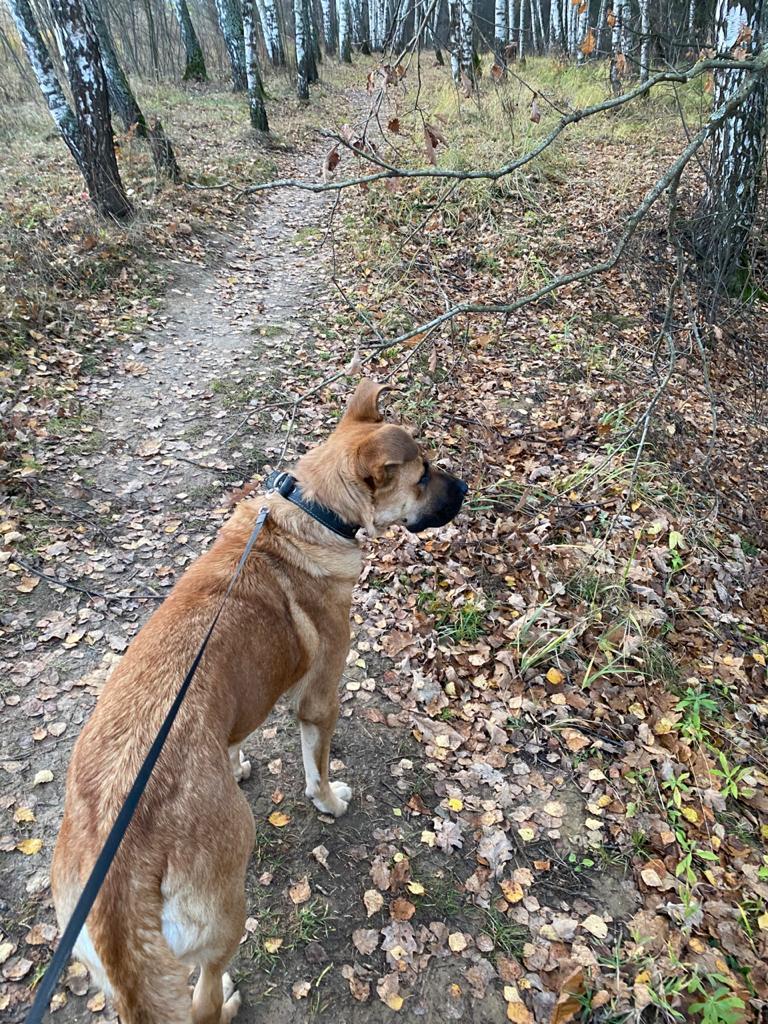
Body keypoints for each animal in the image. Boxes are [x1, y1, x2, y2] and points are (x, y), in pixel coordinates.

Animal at [52, 382, 468, 1024]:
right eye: (422, 477)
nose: (466, 488)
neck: (312, 512)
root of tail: (118, 887)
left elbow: (237, 735)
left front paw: (239, 762)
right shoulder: (319, 701)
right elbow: (316, 768)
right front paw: (329, 801)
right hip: (227, 912)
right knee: (200, 998)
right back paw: (224, 1003)